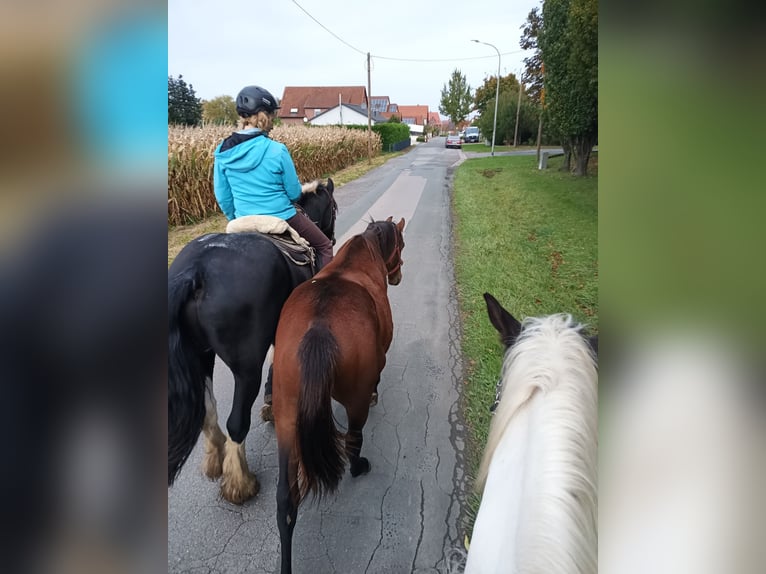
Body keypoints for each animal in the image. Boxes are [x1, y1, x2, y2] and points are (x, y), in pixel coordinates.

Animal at [166, 179, 338, 504]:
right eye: (334, 207)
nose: (332, 237)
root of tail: (196, 270)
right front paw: (271, 402)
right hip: (246, 367)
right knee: (237, 421)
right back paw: (240, 483)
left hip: (201, 355)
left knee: (208, 411)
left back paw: (216, 460)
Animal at [272, 217, 408, 574]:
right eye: (401, 244)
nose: (398, 276)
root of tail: (319, 329)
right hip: (354, 401)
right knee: (352, 440)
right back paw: (359, 466)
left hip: (286, 416)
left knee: (285, 501)